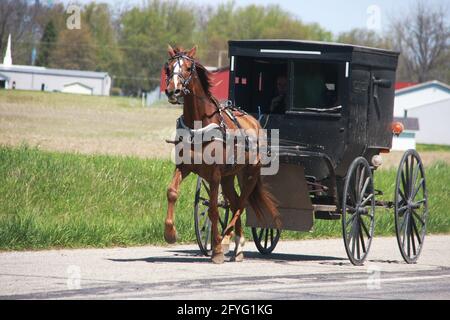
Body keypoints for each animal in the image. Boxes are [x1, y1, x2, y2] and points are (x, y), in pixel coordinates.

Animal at [163, 45, 282, 264]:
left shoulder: (215, 174)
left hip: (250, 174)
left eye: (188, 68)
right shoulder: (184, 166)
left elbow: (212, 209)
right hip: (230, 176)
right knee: (234, 203)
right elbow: (172, 192)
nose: (172, 90)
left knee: (241, 204)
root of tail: (255, 122)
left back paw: (228, 239)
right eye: (168, 68)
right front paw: (170, 233)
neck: (199, 125)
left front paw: (217, 248)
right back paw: (237, 245)